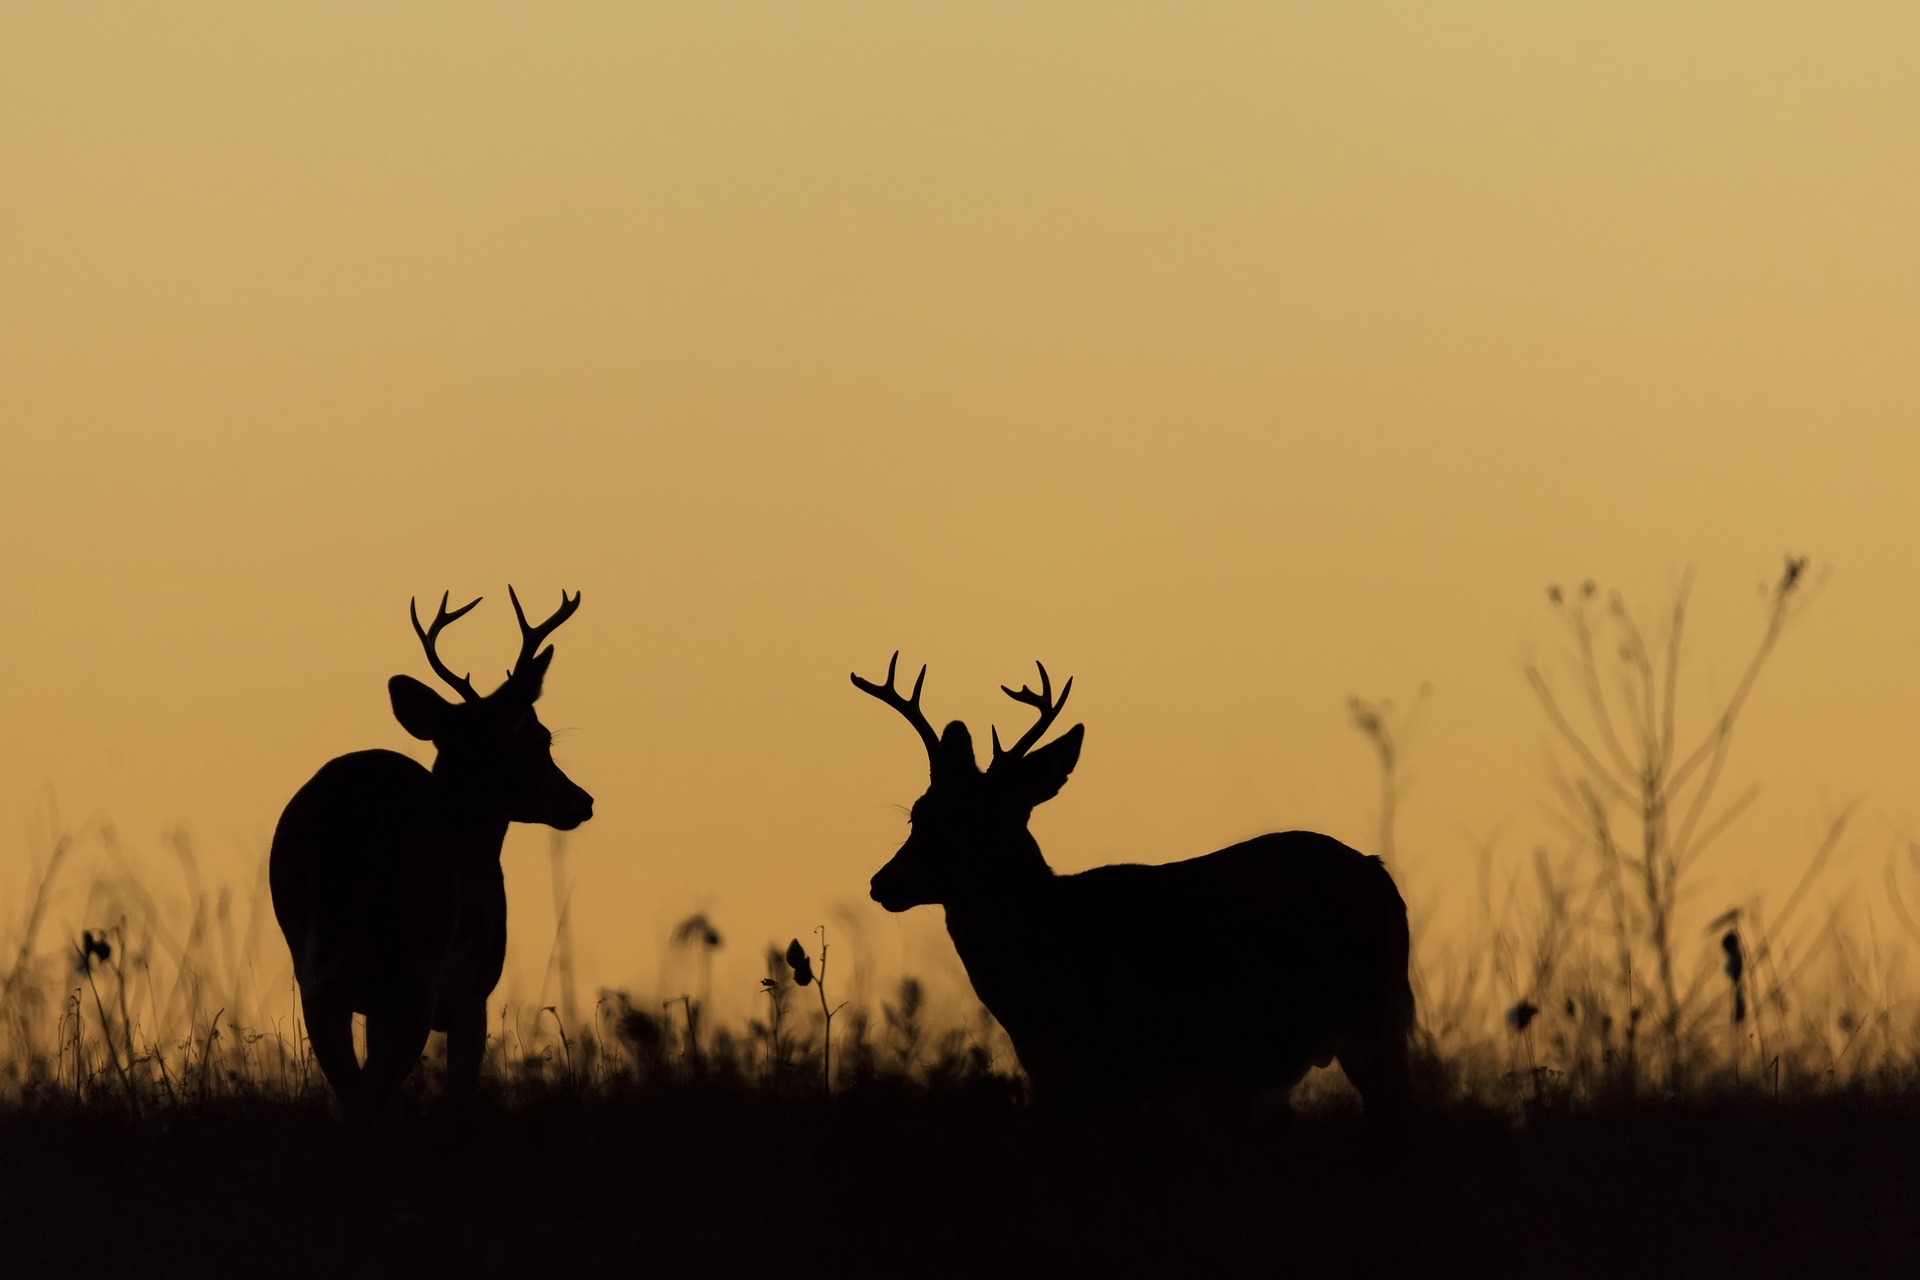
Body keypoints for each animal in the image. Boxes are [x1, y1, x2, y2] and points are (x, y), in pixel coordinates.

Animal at [266, 587, 587, 1113]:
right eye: (542, 739)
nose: (582, 800)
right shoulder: (472, 991)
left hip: (317, 976)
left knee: (353, 1090)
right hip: (413, 965)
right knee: (371, 1093)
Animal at [852, 656, 1413, 1113]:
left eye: (981, 822)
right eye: (917, 814)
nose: (884, 882)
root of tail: (1378, 875)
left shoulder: (1122, 1064)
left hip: (1370, 1017)